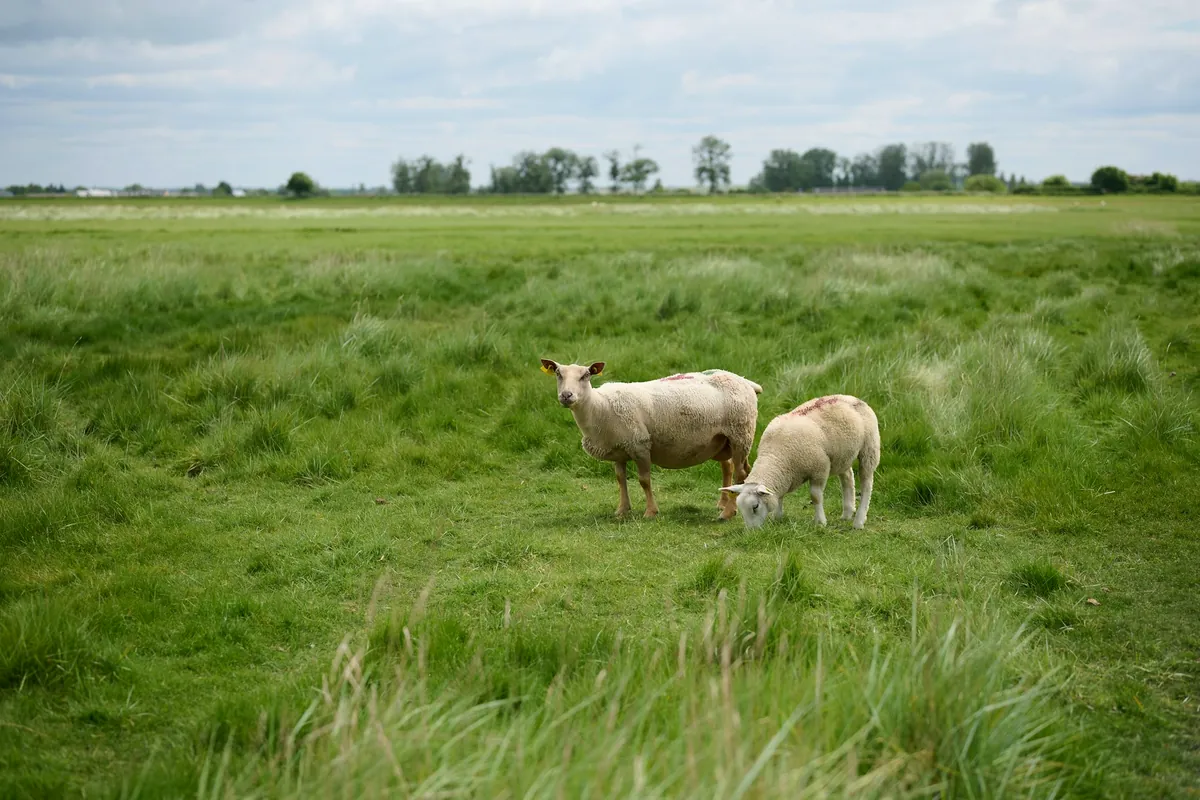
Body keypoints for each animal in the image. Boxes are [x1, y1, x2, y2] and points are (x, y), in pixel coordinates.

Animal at [540, 359, 763, 519]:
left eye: (585, 375)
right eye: (558, 374)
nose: (566, 395)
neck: (600, 407)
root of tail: (744, 380)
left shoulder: (639, 445)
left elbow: (644, 480)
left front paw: (650, 512)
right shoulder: (619, 452)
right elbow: (620, 479)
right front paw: (622, 510)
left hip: (740, 434)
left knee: (740, 473)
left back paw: (727, 512)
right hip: (722, 441)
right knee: (730, 468)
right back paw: (725, 503)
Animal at [722, 394, 880, 530]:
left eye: (755, 506)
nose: (752, 532)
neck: (775, 456)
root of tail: (853, 398)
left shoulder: (820, 469)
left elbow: (815, 497)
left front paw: (820, 522)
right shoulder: (784, 476)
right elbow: (780, 496)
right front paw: (777, 517)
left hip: (869, 449)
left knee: (867, 483)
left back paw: (859, 520)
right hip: (842, 454)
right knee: (847, 477)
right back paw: (847, 513)